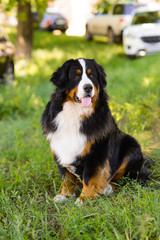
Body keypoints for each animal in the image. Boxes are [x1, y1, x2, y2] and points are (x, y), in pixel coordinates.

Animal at [41, 57, 146, 204]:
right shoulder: (59, 148)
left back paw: (107, 188)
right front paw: (65, 195)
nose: (88, 87)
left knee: (123, 177)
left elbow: (90, 176)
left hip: (131, 146)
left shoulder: (97, 151)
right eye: (76, 76)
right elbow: (67, 177)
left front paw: (84, 199)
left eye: (92, 76)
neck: (75, 113)